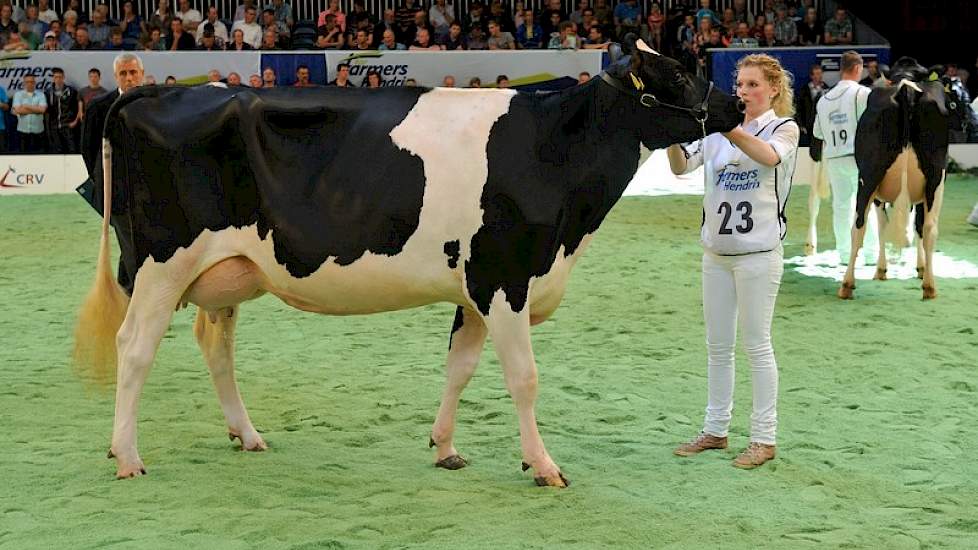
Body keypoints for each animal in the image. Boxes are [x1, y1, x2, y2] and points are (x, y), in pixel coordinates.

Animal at [74, 41, 740, 490]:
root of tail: (158, 90)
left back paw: (247, 435)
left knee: (216, 347)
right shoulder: (504, 277)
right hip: (162, 264)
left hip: (228, 270)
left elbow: (459, 369)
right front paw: (544, 465)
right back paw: (127, 455)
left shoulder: (474, 289)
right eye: (680, 73)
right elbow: (523, 378)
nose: (734, 101)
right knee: (135, 346)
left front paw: (445, 447)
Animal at [836, 56, 964, 302]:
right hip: (935, 177)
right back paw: (929, 286)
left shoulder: (880, 194)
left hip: (869, 175)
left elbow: (883, 226)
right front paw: (917, 268)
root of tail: (907, 89)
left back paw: (847, 284)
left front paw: (882, 269)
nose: (964, 123)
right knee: (929, 228)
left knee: (859, 226)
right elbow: (914, 226)